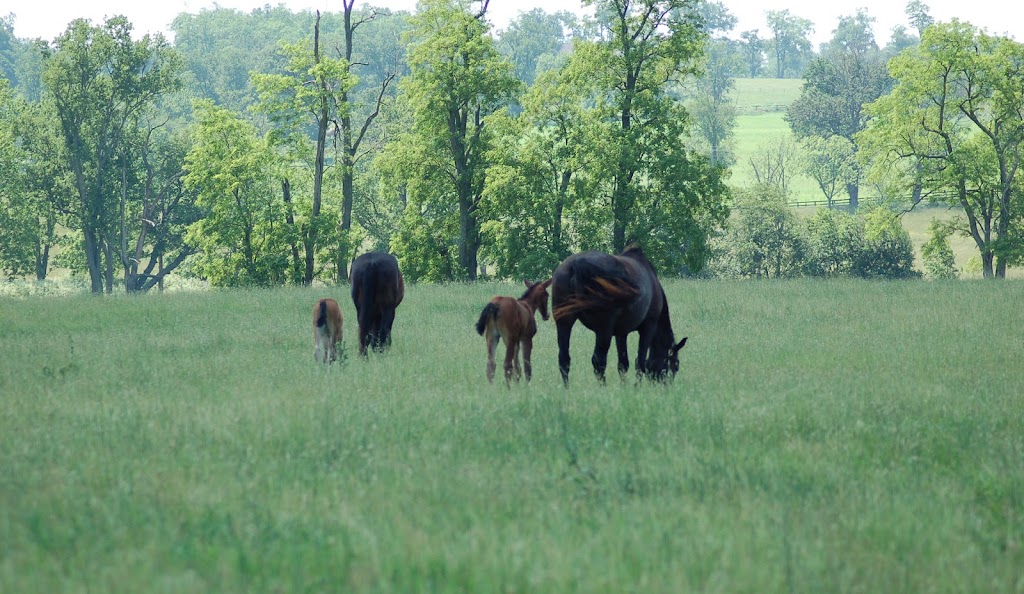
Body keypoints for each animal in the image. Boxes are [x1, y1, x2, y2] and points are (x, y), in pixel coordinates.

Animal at [552, 245, 688, 385]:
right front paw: (636, 386)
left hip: (564, 322)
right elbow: (640, 361)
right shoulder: (648, 326)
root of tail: (577, 264)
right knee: (598, 361)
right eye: (676, 364)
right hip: (603, 329)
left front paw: (624, 385)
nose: (667, 385)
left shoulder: (621, 332)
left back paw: (566, 388)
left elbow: (623, 364)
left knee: (564, 360)